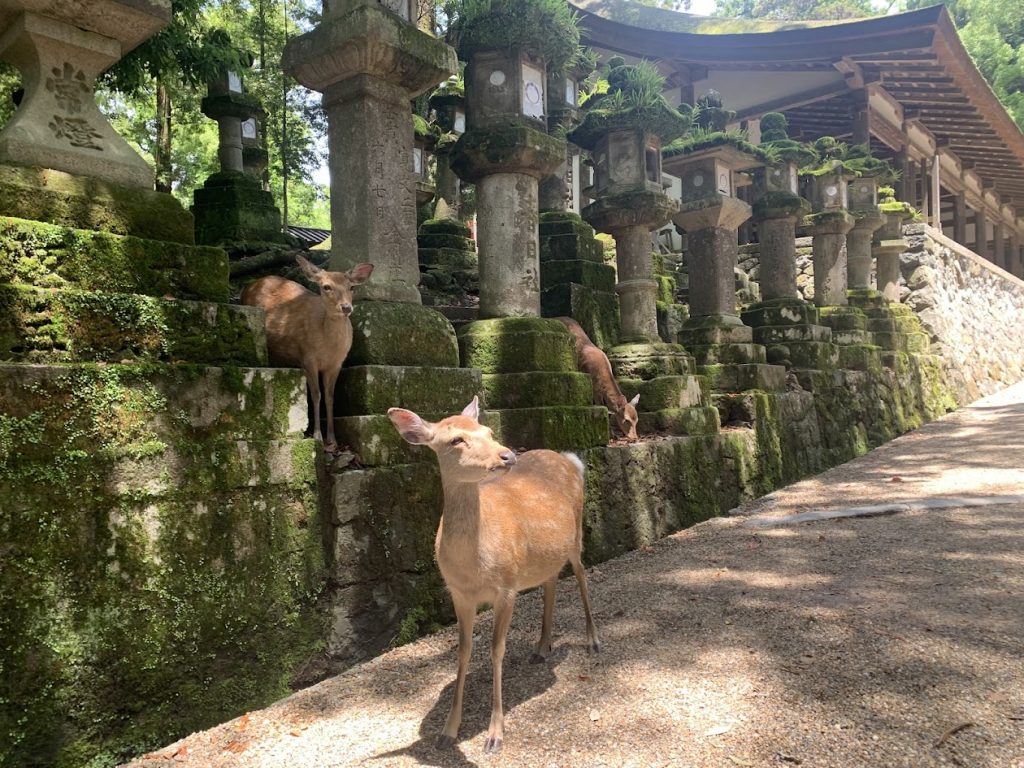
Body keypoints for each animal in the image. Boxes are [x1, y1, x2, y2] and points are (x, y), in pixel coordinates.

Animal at [241, 255, 373, 452]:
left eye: (351, 287)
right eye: (326, 287)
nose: (346, 307)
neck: (329, 347)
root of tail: (250, 284)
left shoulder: (336, 364)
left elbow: (330, 397)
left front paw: (332, 441)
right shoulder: (307, 357)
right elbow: (316, 396)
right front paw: (318, 437)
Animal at [387, 397, 600, 753]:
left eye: (488, 430)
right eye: (455, 440)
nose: (507, 455)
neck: (474, 568)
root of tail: (569, 458)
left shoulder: (507, 587)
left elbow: (496, 649)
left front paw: (495, 735)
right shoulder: (458, 593)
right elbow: (463, 651)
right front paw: (447, 731)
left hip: (576, 535)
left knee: (582, 575)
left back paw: (593, 640)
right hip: (546, 552)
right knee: (551, 581)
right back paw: (542, 648)